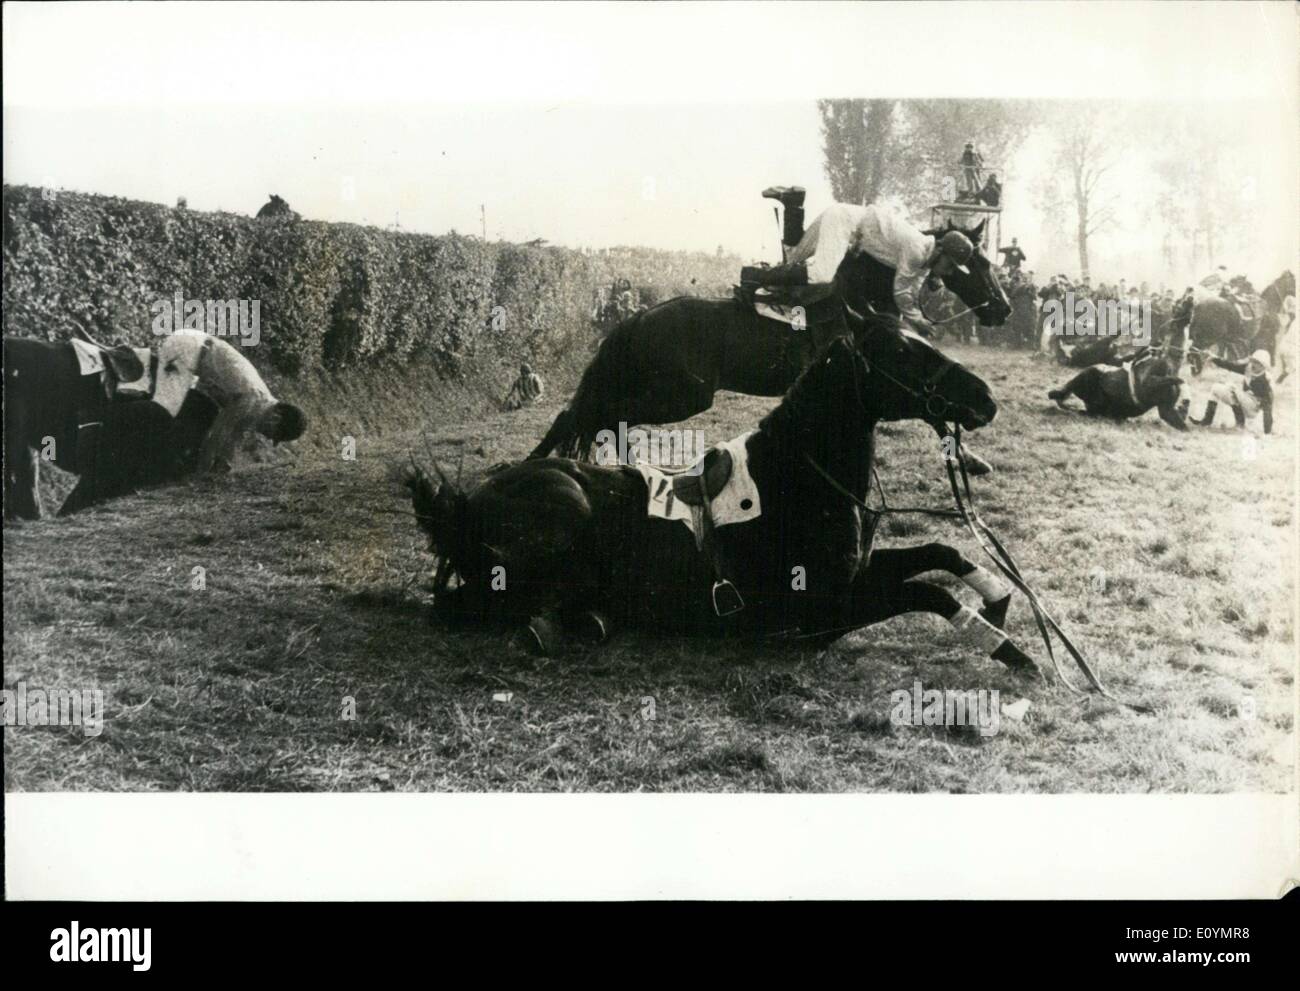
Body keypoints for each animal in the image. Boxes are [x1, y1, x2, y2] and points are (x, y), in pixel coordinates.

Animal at [410, 312, 1040, 676]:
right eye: (904, 354)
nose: (985, 398)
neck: (800, 474)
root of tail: (461, 507)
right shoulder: (818, 614)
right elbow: (928, 593)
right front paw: (1012, 651)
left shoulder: (856, 576)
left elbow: (940, 554)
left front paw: (999, 597)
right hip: (565, 503)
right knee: (462, 606)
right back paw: (550, 625)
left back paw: (588, 620)